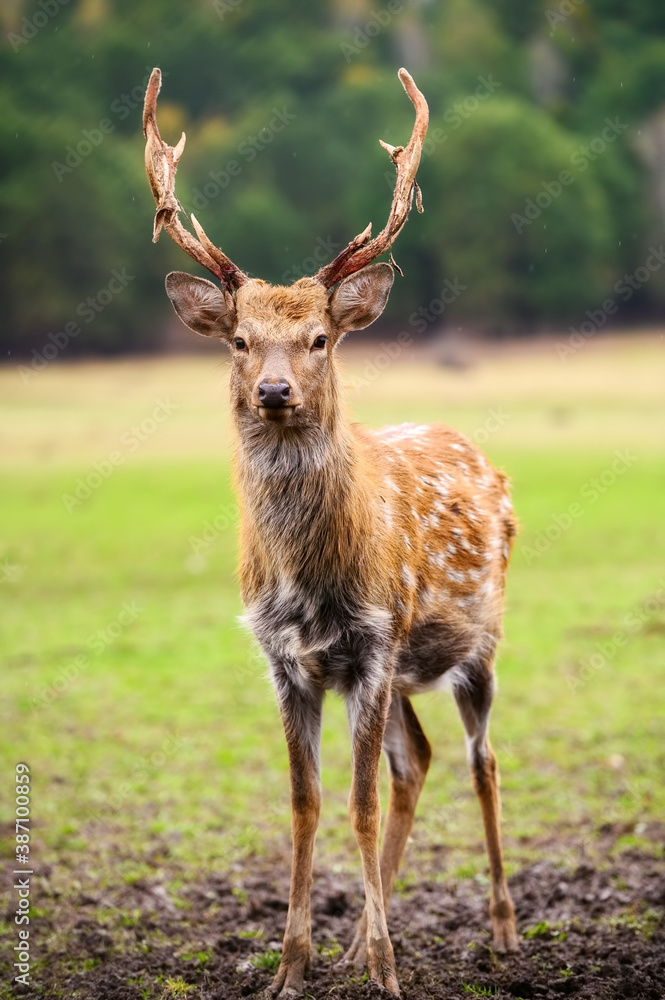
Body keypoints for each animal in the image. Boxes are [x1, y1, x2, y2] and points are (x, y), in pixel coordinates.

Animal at [142, 66, 519, 997]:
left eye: (319, 338)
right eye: (240, 340)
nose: (275, 390)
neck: (312, 583)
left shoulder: (375, 644)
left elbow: (358, 801)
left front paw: (385, 972)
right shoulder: (288, 659)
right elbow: (306, 802)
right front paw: (293, 966)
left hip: (477, 642)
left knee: (479, 759)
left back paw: (500, 928)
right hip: (398, 673)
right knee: (416, 758)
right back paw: (354, 942)